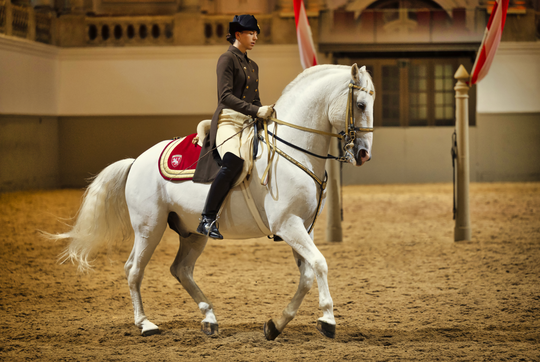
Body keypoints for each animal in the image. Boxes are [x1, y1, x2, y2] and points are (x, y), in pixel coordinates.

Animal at [50, 64, 374, 340]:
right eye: (360, 105)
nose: (363, 155)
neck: (295, 150)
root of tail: (137, 161)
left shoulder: (303, 227)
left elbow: (307, 275)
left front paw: (276, 324)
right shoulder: (288, 225)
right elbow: (320, 263)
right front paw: (327, 320)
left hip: (192, 232)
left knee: (181, 270)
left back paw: (209, 318)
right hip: (149, 227)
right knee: (134, 269)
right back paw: (145, 324)